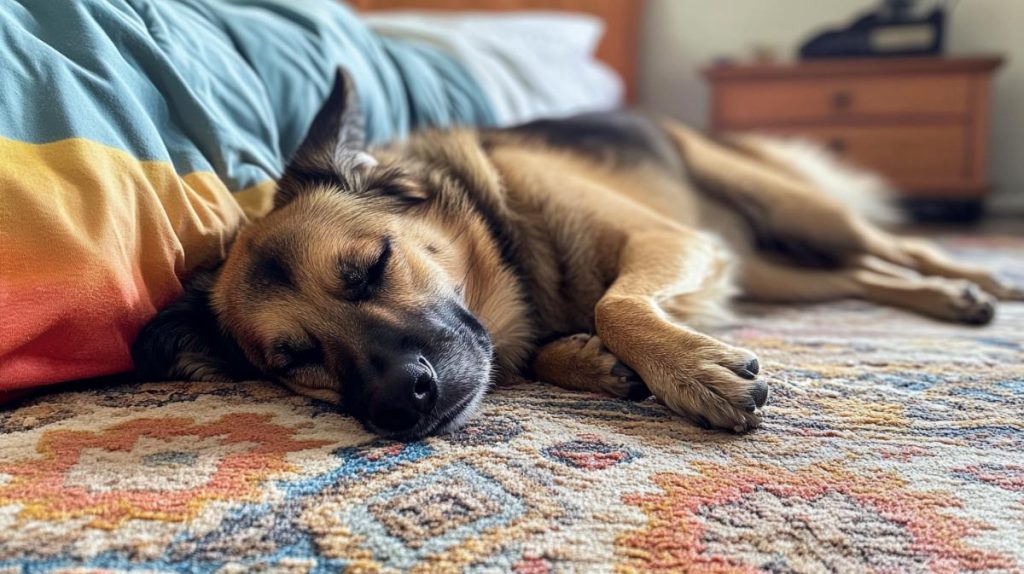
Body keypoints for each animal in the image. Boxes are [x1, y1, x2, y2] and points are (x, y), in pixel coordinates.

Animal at [132, 71, 1019, 437]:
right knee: (861, 275)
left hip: (792, 208)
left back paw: (977, 280)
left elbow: (613, 300)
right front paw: (592, 364)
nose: (399, 406)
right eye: (293, 360)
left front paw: (692, 374)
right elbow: (562, 338)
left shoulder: (665, 241)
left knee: (895, 244)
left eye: (373, 267)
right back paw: (950, 301)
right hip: (767, 267)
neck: (512, 243)